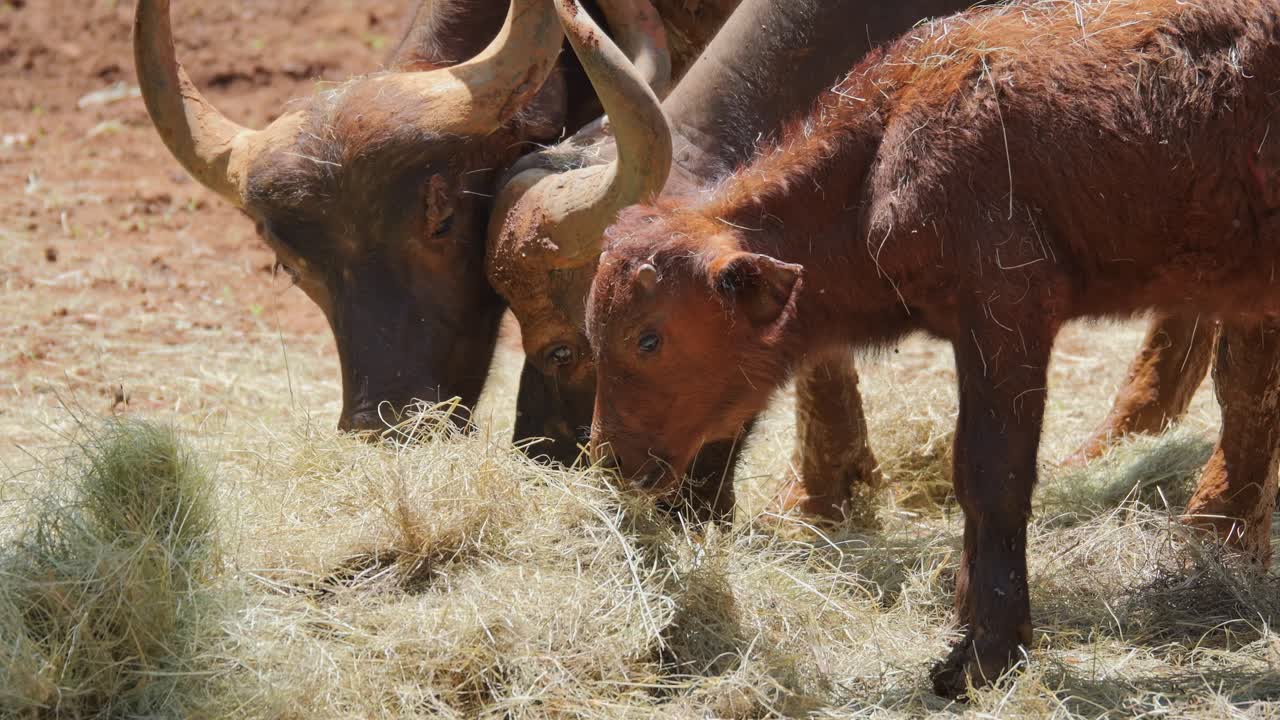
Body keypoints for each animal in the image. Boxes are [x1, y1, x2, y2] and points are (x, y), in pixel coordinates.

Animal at [582, 0, 1280, 695]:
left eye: (647, 338)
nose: (608, 460)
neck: (880, 145)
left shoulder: (1006, 314)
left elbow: (991, 473)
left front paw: (985, 654)